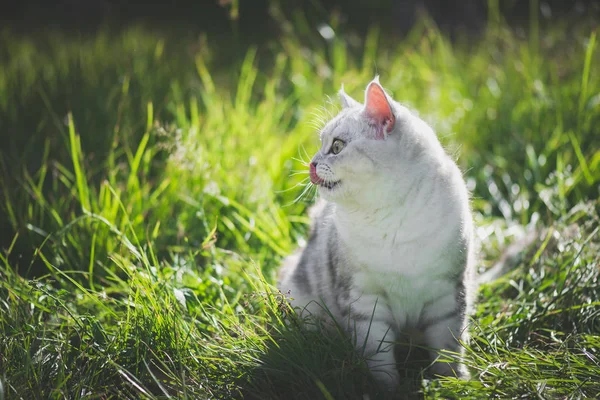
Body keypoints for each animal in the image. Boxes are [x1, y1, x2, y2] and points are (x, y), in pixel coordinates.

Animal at [278, 76, 478, 390]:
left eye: (337, 146)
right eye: (321, 143)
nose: (311, 163)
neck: (390, 216)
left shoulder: (448, 293)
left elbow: (448, 347)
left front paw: (453, 383)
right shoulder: (364, 301)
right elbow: (378, 354)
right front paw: (386, 387)